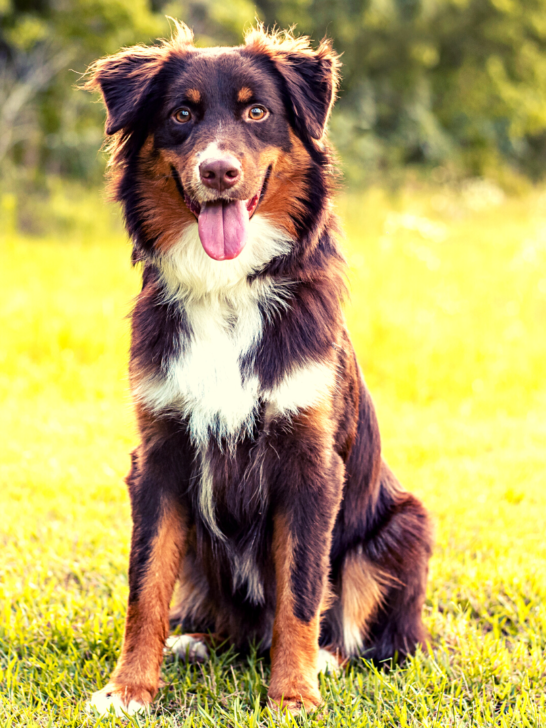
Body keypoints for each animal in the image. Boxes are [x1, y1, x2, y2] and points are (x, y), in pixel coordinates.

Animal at [84, 21, 430, 716]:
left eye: (257, 112)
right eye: (181, 115)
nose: (219, 171)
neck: (226, 289)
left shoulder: (311, 464)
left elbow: (301, 591)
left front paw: (292, 696)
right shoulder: (158, 455)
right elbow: (145, 586)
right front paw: (129, 690)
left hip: (403, 526)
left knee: (370, 635)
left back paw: (324, 659)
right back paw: (195, 642)